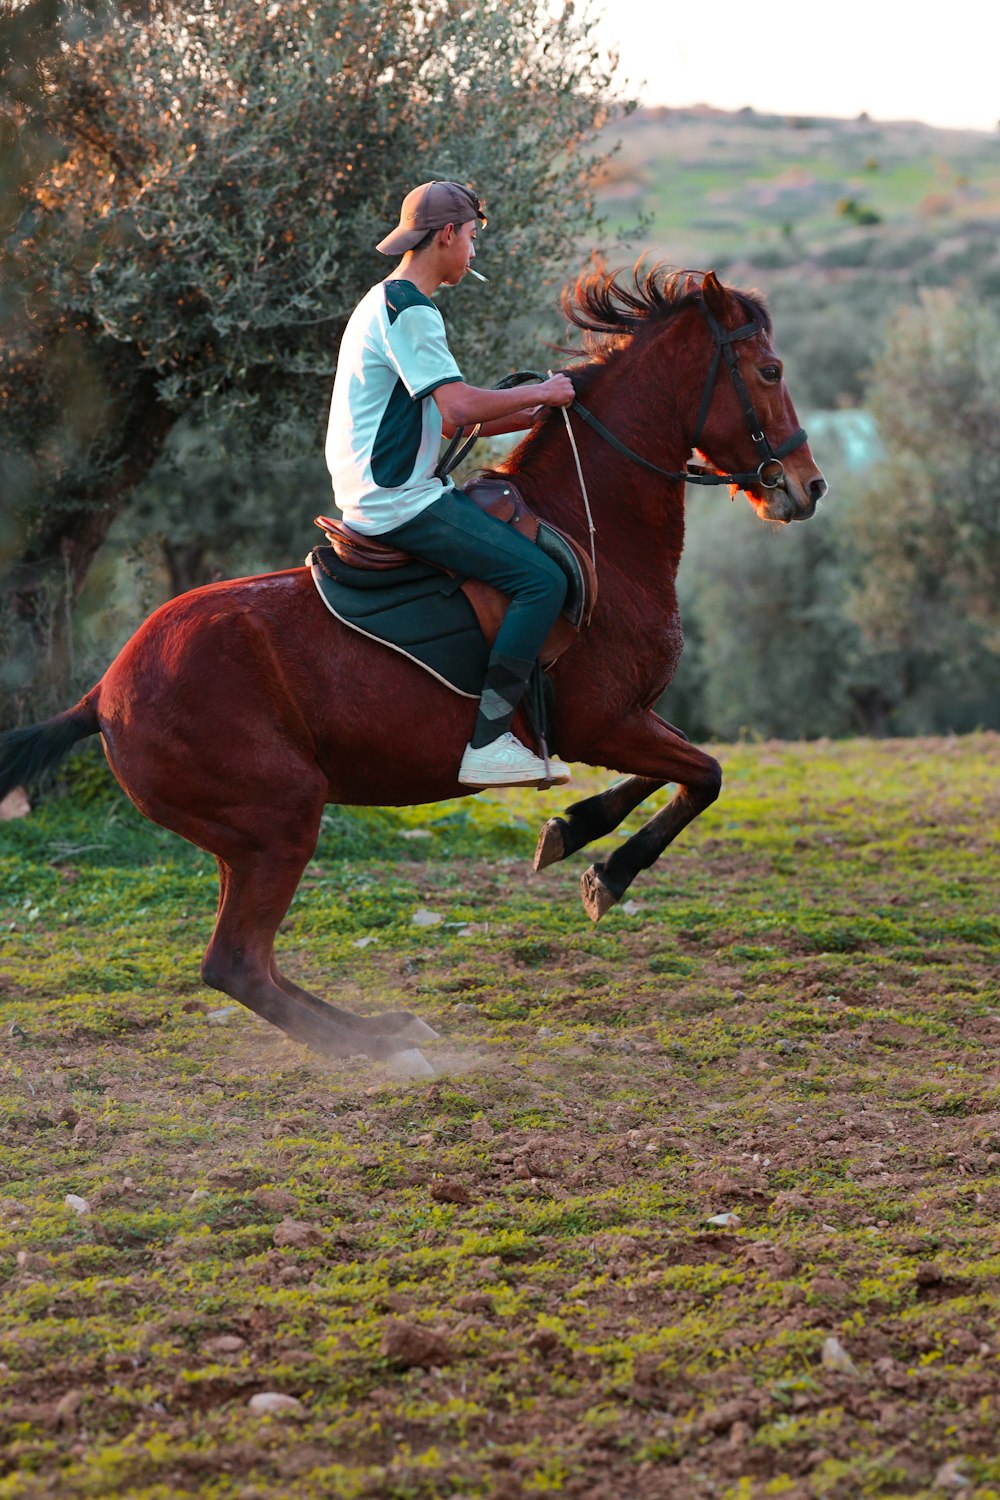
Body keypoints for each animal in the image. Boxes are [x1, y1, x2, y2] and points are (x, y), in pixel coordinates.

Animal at [0, 264, 827, 1074]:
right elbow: (704, 774)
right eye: (770, 370)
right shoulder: (602, 722)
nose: (808, 485)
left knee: (253, 965)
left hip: (244, 839)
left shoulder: (619, 722)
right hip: (281, 819)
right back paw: (376, 1048)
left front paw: (574, 832)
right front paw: (607, 871)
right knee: (236, 964)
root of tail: (103, 693)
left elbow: (674, 775)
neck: (597, 529)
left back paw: (384, 1029)